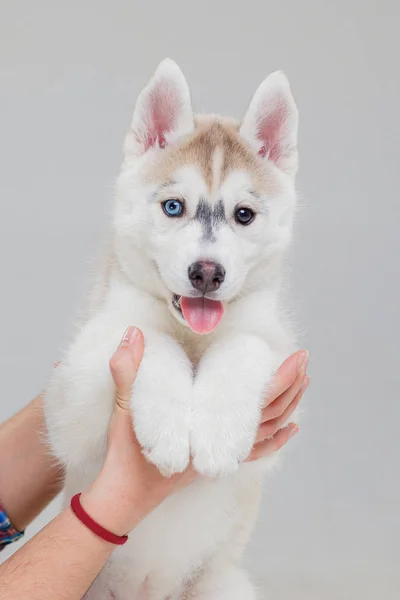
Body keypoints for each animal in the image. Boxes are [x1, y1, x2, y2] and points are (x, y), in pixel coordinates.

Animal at [43, 59, 300, 600]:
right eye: (173, 207)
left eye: (244, 214)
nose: (206, 273)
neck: (193, 337)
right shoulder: (68, 407)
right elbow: (147, 338)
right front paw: (167, 425)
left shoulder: (278, 363)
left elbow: (245, 345)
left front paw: (218, 430)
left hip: (223, 584)